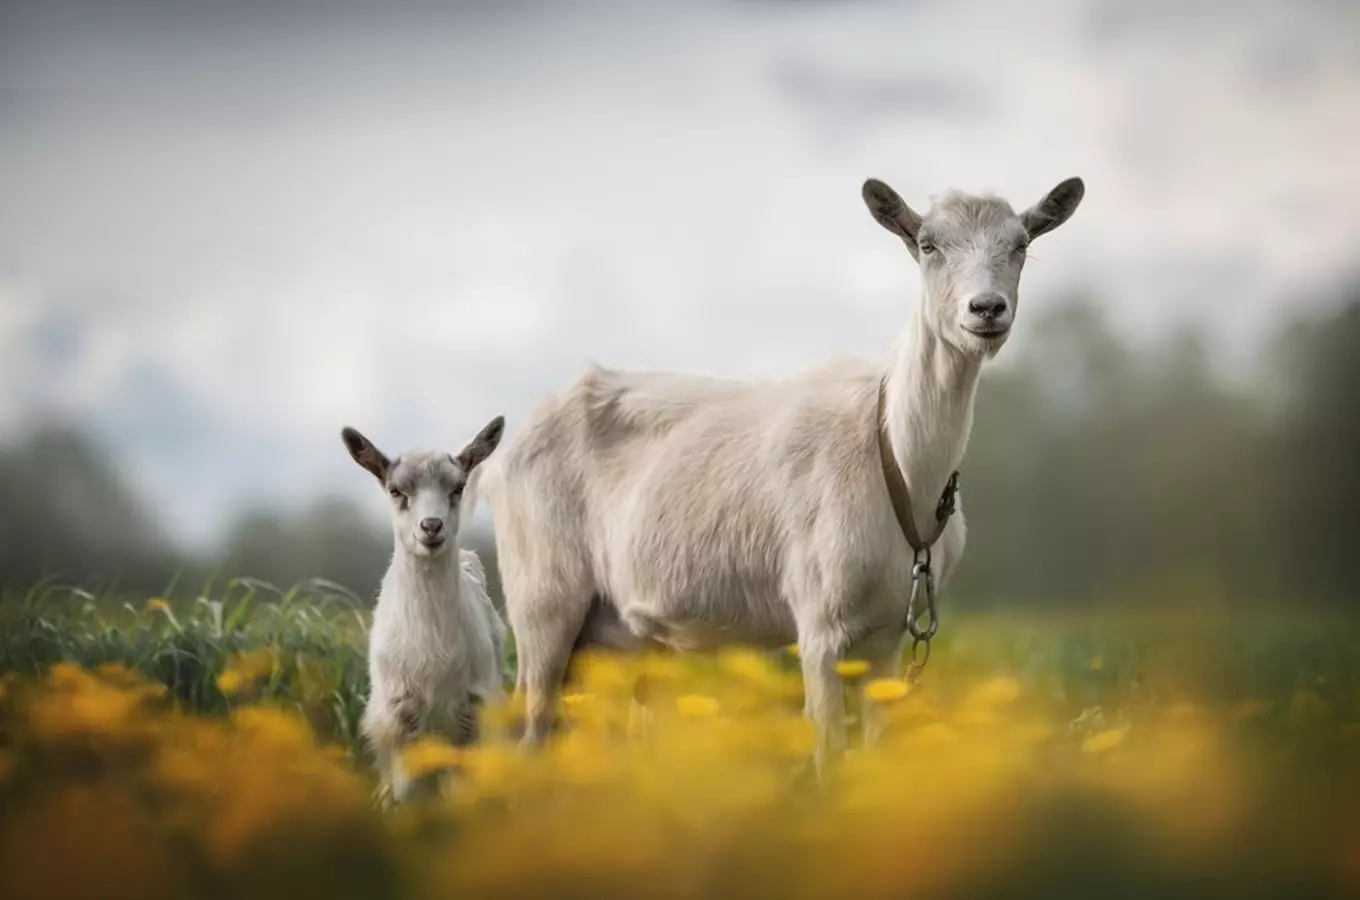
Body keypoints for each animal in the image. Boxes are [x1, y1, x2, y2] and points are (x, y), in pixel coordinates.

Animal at [342, 418, 508, 804]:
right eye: (395, 490)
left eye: (458, 487)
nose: (431, 526)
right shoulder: (399, 715)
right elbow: (407, 790)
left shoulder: (471, 711)